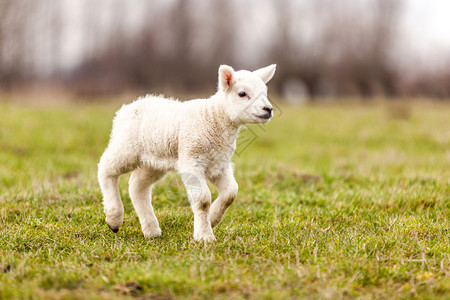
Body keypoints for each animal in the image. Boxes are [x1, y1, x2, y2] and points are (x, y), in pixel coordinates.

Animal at [96, 63, 276, 241]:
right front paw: (204, 236)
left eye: (265, 92)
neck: (214, 117)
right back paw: (114, 218)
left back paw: (151, 230)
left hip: (154, 161)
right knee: (106, 168)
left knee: (137, 187)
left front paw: (212, 219)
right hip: (126, 147)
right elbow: (203, 200)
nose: (268, 109)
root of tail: (125, 109)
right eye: (242, 94)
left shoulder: (219, 164)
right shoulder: (191, 160)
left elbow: (231, 193)